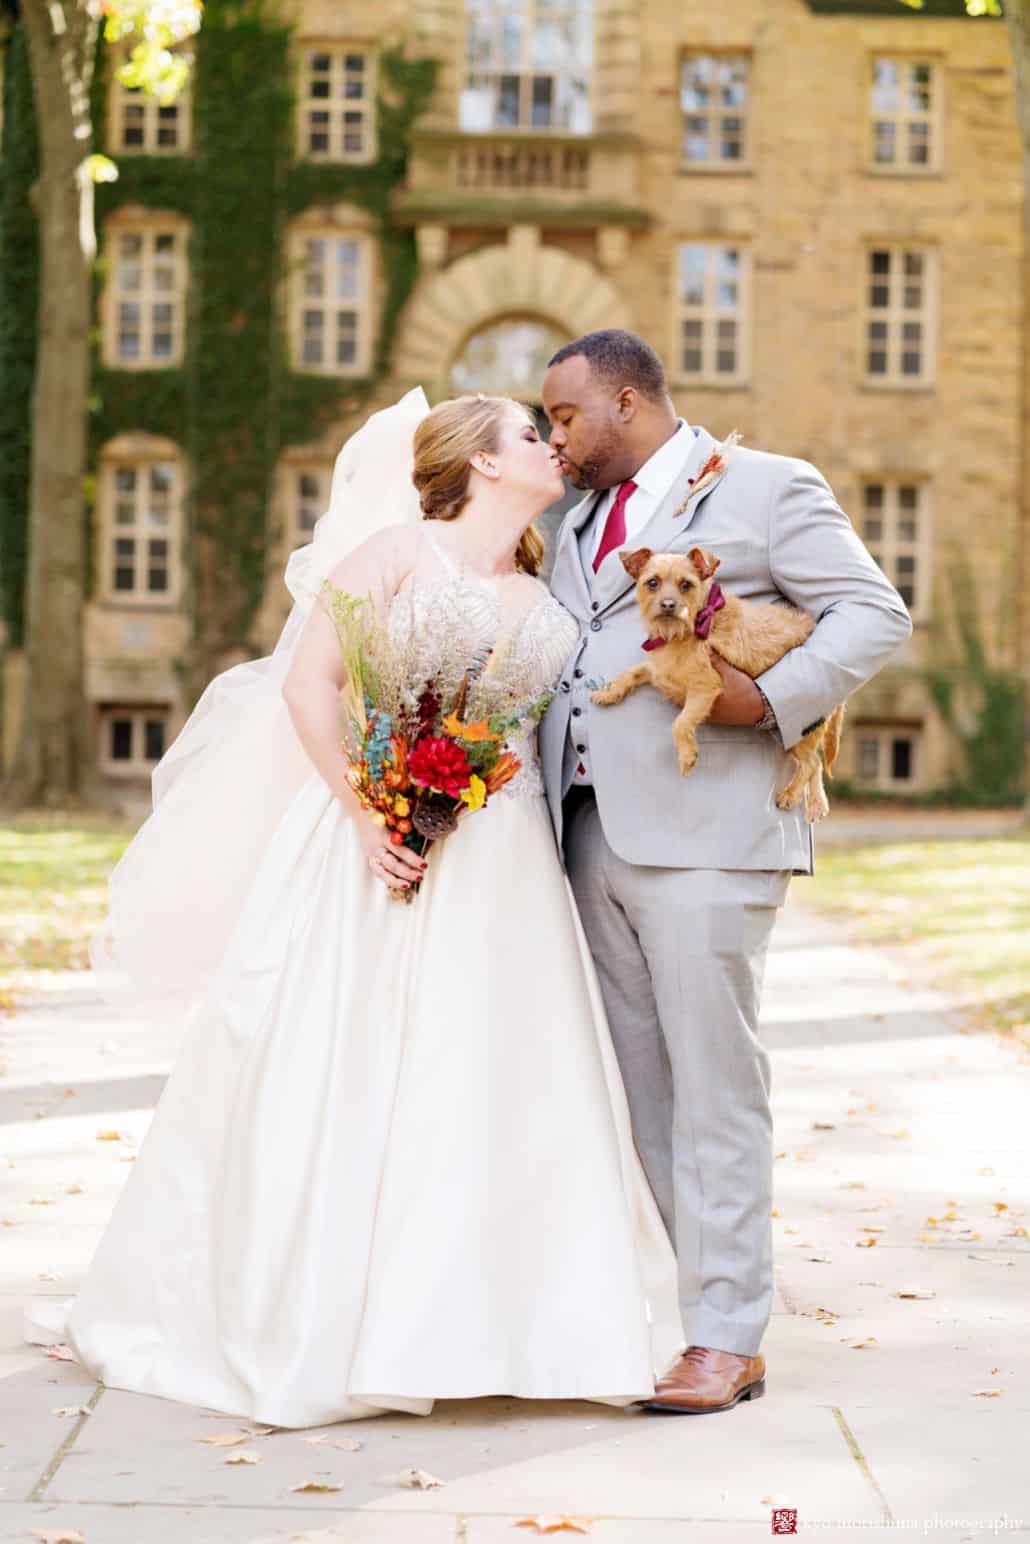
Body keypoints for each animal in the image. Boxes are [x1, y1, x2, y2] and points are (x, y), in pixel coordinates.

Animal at [592, 552, 840, 827]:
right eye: (652, 583)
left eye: (686, 584)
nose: (668, 605)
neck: (684, 631)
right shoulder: (657, 669)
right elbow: (631, 672)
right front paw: (609, 691)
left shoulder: (704, 688)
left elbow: (680, 724)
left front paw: (687, 755)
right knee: (816, 765)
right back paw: (817, 804)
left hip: (797, 731)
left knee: (811, 763)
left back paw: (791, 794)